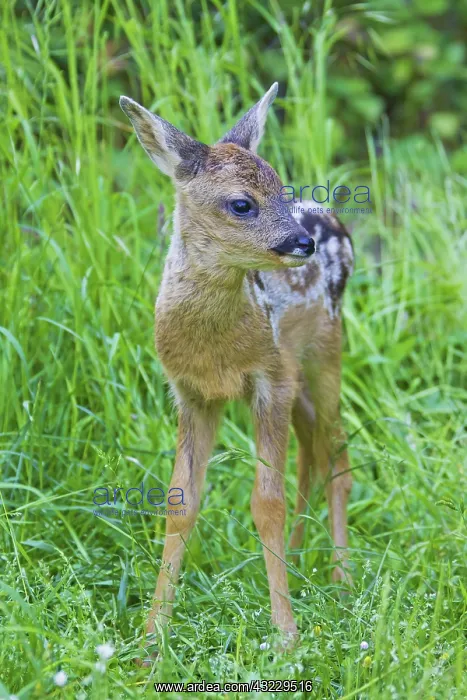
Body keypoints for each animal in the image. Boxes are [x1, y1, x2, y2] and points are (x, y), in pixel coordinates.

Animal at [119, 83, 354, 663]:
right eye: (242, 203)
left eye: (280, 188)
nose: (300, 242)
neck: (214, 350)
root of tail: (330, 217)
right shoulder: (190, 393)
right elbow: (181, 503)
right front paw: (150, 642)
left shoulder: (269, 378)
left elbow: (265, 502)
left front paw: (286, 635)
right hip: (299, 374)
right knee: (314, 451)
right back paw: (300, 560)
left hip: (325, 348)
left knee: (337, 453)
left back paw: (340, 580)